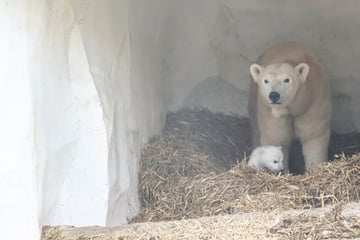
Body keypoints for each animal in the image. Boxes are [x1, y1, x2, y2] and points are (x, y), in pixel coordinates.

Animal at [249, 42, 330, 172]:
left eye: (286, 80)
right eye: (266, 80)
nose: (274, 95)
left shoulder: (312, 104)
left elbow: (313, 136)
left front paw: (315, 169)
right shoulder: (271, 113)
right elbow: (276, 137)